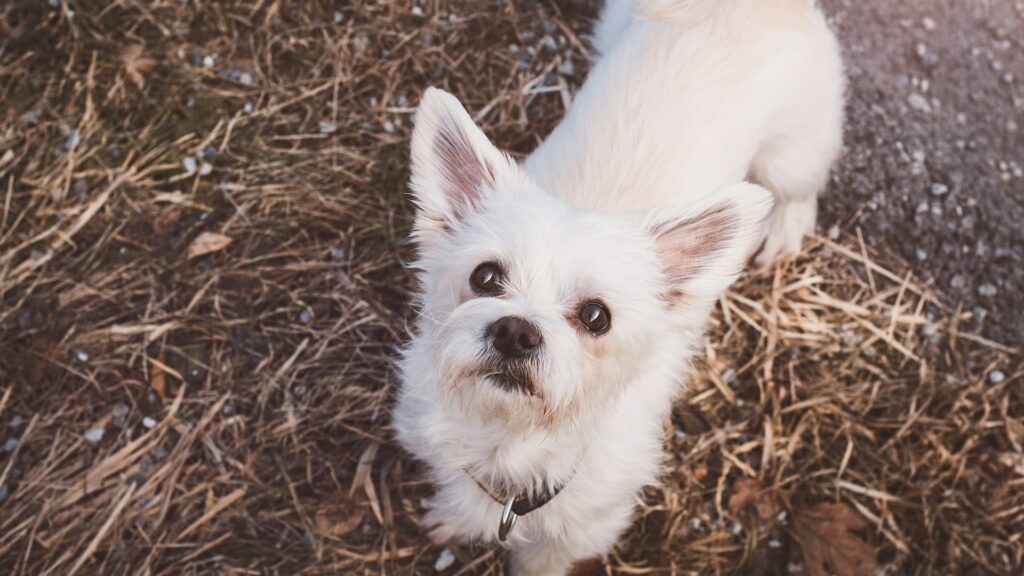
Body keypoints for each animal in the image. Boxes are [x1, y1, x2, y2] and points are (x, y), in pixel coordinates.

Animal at [391, 0, 839, 569]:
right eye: (485, 276)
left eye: (596, 316)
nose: (515, 332)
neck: (510, 441)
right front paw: (455, 517)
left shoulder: (582, 532)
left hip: (791, 155)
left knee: (801, 188)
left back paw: (785, 228)